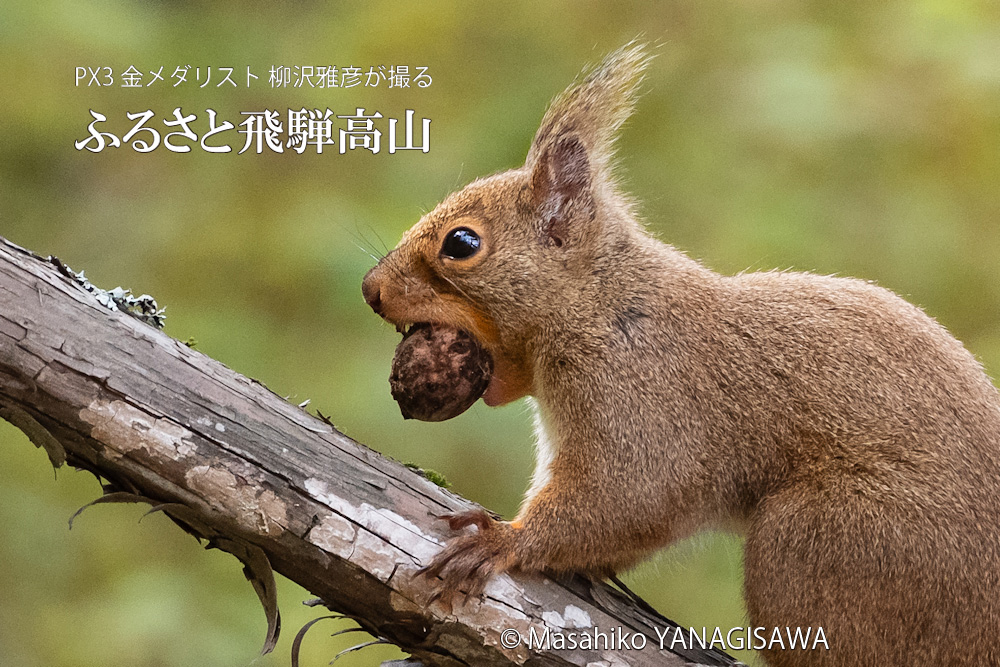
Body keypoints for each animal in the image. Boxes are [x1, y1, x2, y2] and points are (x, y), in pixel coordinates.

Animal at [360, 43, 1000, 667]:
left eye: (462, 243)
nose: (370, 290)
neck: (604, 302)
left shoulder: (642, 391)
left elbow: (630, 494)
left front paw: (504, 540)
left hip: (823, 544)